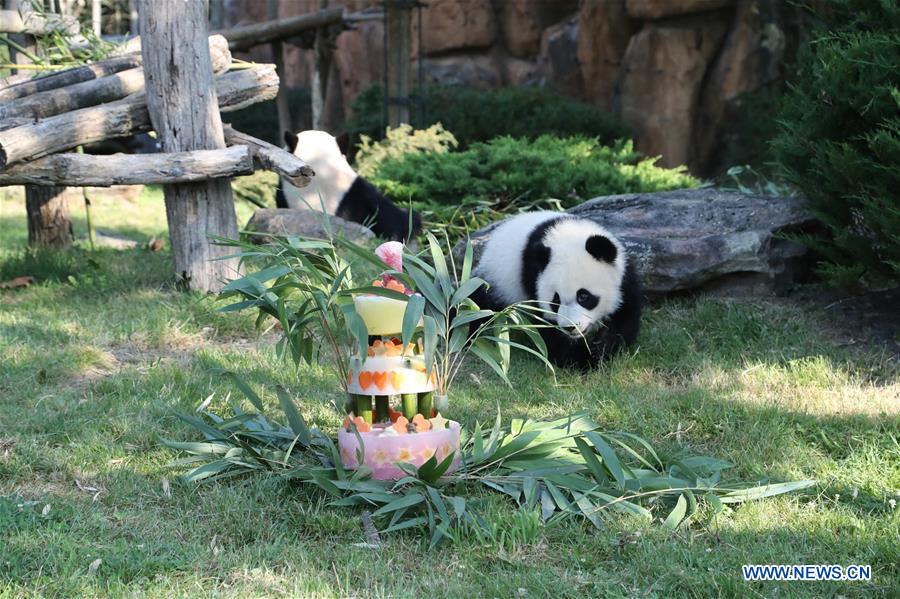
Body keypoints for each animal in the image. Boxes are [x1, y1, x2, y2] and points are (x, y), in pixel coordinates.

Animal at [471, 211, 642, 370]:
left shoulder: (623, 278)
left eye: (583, 296)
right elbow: (547, 329)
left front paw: (599, 352)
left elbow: (623, 316)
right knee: (479, 303)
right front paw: (582, 359)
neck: (569, 235)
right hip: (496, 279)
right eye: (556, 300)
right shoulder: (534, 279)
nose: (570, 327)